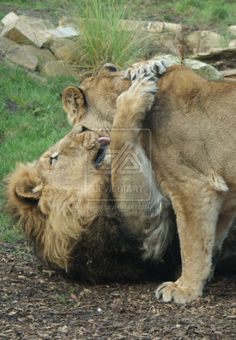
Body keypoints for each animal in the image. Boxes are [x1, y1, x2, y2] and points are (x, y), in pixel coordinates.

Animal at [62, 60, 236, 302]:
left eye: (79, 130)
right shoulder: (221, 195)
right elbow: (209, 241)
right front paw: (200, 278)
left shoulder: (191, 185)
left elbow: (191, 242)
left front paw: (184, 288)